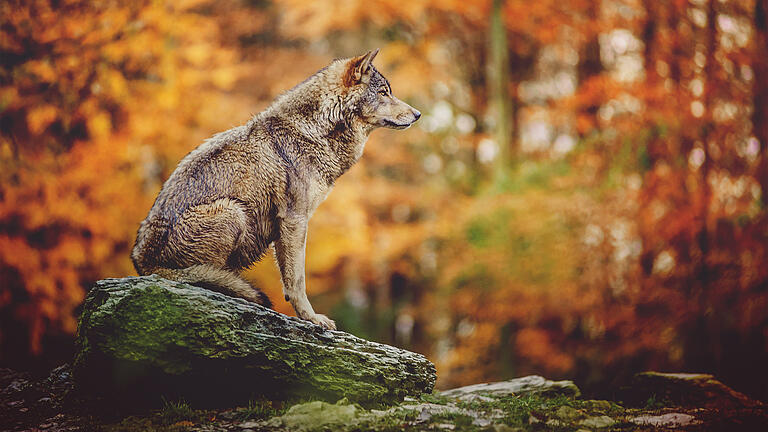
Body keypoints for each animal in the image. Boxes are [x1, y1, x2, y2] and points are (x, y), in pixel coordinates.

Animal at [132, 49, 420, 330]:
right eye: (383, 92)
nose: (418, 114)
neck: (314, 131)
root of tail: (143, 263)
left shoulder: (286, 227)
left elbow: (290, 278)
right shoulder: (295, 220)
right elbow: (297, 280)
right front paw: (312, 319)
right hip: (233, 211)